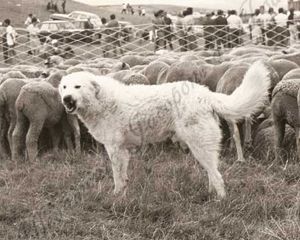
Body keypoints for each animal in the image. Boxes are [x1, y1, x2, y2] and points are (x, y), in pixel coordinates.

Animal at [59, 61, 270, 199]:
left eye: (77, 86)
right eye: (64, 87)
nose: (66, 98)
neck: (101, 100)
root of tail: (206, 94)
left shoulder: (115, 149)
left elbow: (117, 177)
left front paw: (116, 197)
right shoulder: (123, 151)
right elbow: (124, 177)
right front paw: (123, 196)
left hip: (200, 145)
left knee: (217, 176)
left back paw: (220, 201)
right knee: (213, 172)